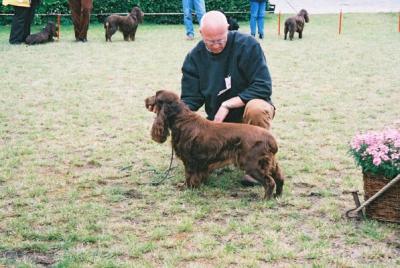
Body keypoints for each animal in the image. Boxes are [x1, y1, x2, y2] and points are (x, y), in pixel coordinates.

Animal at [145, 90, 284, 199]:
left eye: (156, 95)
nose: (145, 99)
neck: (181, 120)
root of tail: (270, 138)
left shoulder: (190, 160)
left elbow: (188, 175)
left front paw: (185, 187)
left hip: (252, 163)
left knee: (269, 181)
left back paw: (265, 199)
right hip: (270, 162)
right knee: (280, 177)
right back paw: (277, 195)